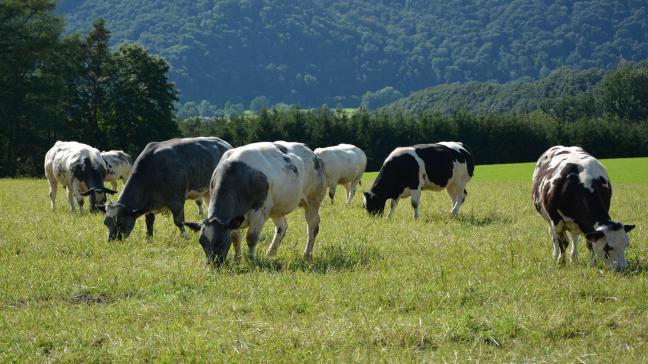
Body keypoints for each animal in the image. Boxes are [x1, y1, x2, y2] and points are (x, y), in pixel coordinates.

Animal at [101, 137, 233, 242]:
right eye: (106, 223)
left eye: (120, 222)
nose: (112, 241)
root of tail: (224, 143)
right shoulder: (149, 205)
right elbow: (149, 221)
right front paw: (148, 239)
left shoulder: (177, 200)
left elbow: (179, 221)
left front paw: (185, 237)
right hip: (207, 192)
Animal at [186, 141, 330, 264]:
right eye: (201, 242)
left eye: (220, 241)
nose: (212, 264)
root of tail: (312, 153)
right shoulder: (234, 219)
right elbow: (235, 238)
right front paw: (237, 259)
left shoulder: (259, 211)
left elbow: (251, 238)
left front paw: (250, 260)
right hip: (276, 207)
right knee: (282, 227)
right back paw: (270, 253)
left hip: (313, 201)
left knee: (313, 227)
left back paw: (307, 255)